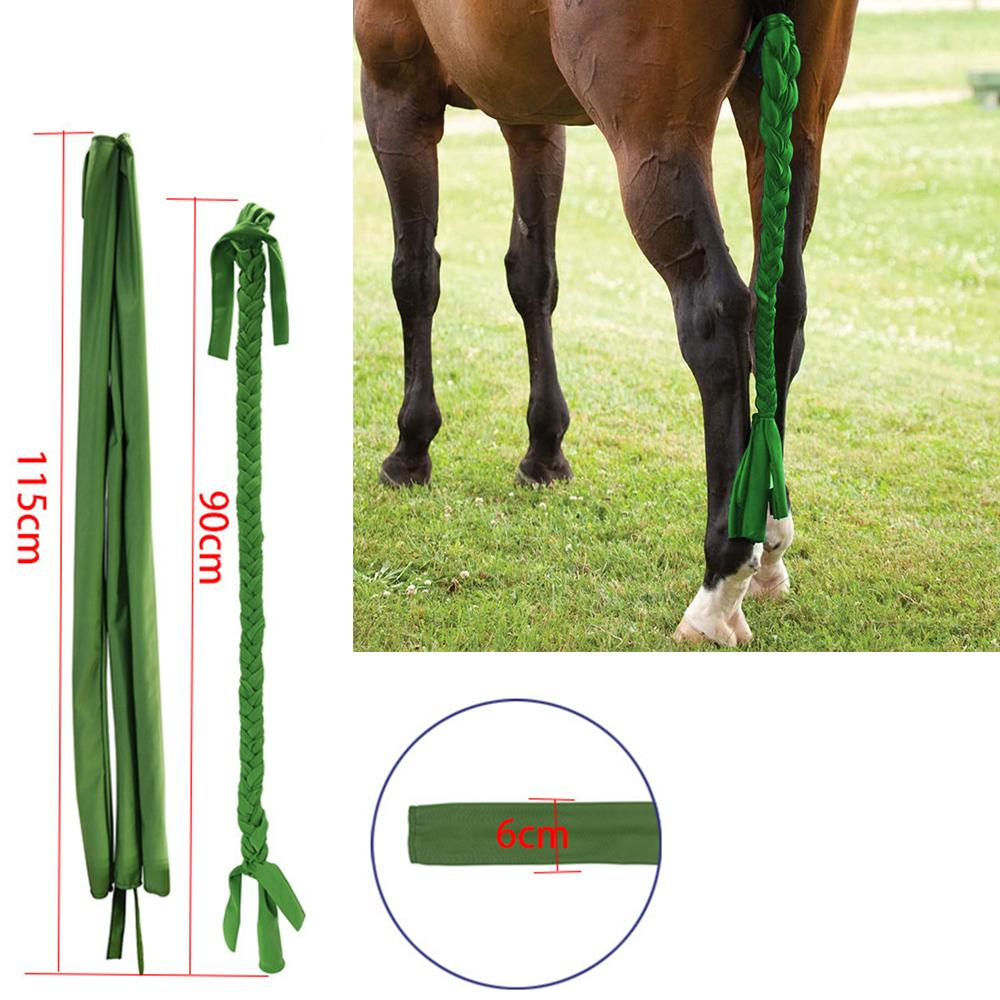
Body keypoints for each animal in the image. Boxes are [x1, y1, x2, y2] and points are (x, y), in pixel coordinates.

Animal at [354, 0, 858, 646]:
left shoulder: (396, 88)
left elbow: (415, 274)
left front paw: (411, 448)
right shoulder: (530, 115)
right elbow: (532, 276)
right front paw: (545, 451)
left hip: (654, 141)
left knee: (718, 317)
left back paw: (719, 585)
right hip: (794, 119)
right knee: (780, 314)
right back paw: (768, 547)